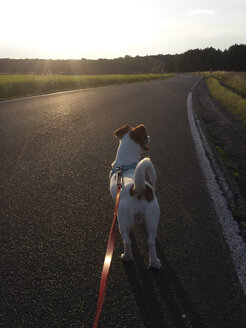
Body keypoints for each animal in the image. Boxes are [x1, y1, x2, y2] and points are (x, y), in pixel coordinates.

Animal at [109, 124, 161, 268]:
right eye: (145, 136)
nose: (149, 137)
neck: (125, 164)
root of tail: (137, 189)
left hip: (124, 220)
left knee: (127, 241)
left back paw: (126, 257)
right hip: (152, 217)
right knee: (151, 242)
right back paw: (154, 263)